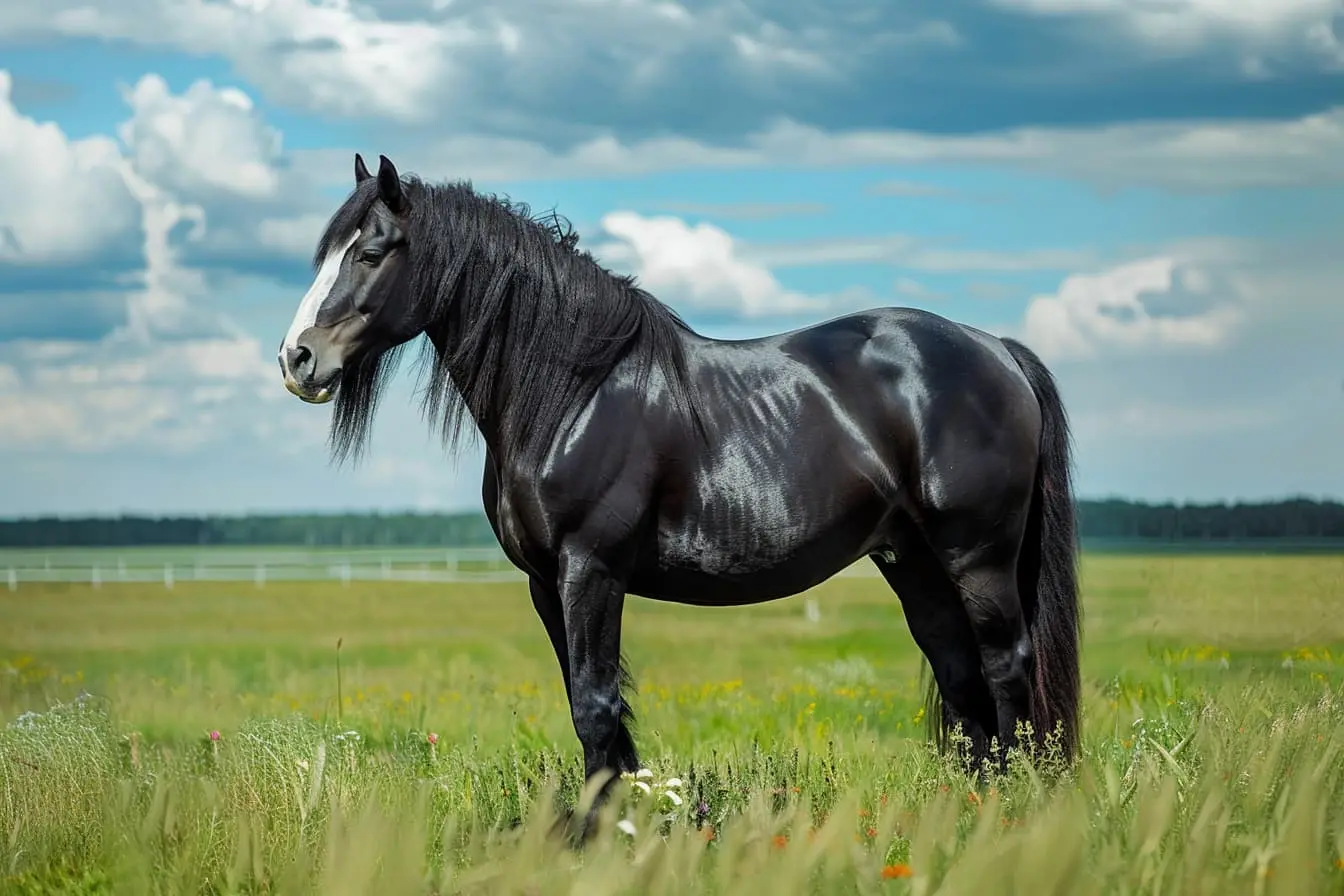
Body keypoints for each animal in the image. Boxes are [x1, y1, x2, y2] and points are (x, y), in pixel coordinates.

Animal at [280, 155, 1080, 822]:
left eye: (372, 252)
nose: (297, 359)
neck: (576, 391)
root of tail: (997, 350)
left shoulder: (590, 570)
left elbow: (596, 706)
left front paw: (602, 837)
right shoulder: (546, 582)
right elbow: (589, 705)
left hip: (976, 558)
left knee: (1007, 669)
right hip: (913, 563)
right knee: (962, 681)